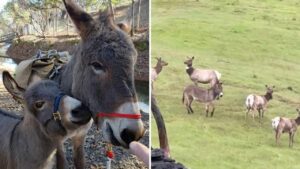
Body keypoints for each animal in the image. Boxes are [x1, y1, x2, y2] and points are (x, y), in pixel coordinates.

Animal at [7, 0, 146, 168]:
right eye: (96, 65)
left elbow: (79, 161)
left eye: (133, 64)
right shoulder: (56, 140)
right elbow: (61, 162)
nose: (133, 133)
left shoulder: (81, 137)